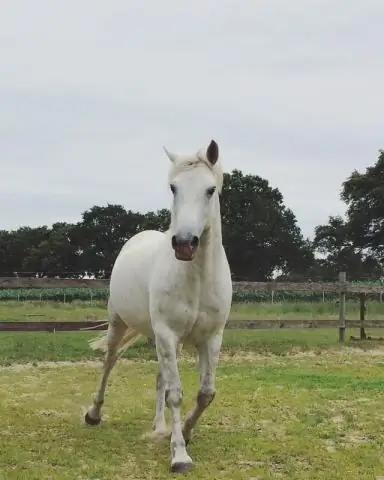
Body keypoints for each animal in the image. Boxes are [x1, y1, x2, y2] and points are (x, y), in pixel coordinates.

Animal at [84, 139, 232, 472]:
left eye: (210, 189)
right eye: (173, 187)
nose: (185, 244)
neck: (197, 278)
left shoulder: (210, 338)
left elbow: (205, 393)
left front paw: (184, 433)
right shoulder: (167, 333)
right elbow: (176, 394)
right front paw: (179, 455)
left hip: (164, 340)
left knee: (159, 379)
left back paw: (159, 426)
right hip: (121, 324)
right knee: (109, 362)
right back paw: (94, 414)